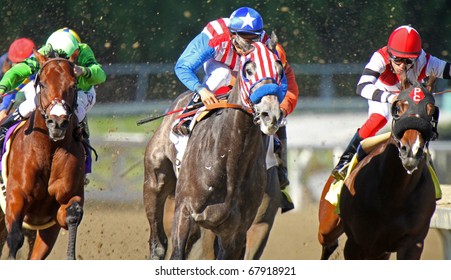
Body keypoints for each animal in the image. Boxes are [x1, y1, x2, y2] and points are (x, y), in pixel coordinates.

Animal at [2, 49, 85, 260]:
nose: (57, 123)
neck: (49, 149)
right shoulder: (16, 196)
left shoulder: (63, 204)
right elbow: (15, 237)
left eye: (73, 85)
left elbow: (73, 213)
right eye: (43, 84)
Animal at [143, 34, 284, 260]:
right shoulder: (185, 211)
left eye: (280, 70)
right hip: (155, 180)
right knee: (158, 244)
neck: (230, 160)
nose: (270, 114)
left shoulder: (235, 230)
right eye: (248, 69)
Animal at [318, 84, 438, 260]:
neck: (394, 194)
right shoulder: (356, 242)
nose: (411, 150)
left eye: (431, 112)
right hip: (328, 226)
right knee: (328, 243)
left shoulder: (412, 242)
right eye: (399, 108)